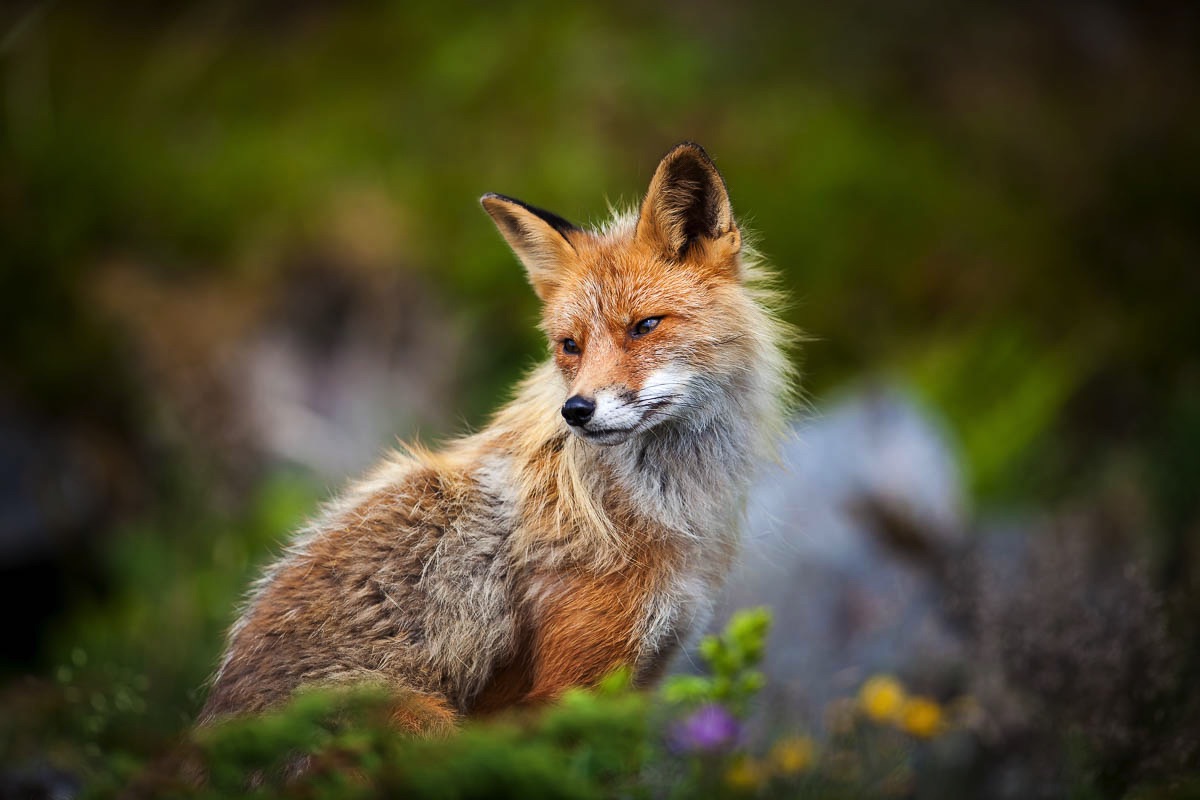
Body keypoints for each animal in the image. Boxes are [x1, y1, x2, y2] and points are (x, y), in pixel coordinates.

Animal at [200, 142, 792, 734]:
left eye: (645, 326)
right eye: (570, 345)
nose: (576, 411)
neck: (660, 510)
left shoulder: (647, 669)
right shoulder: (570, 686)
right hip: (422, 719)